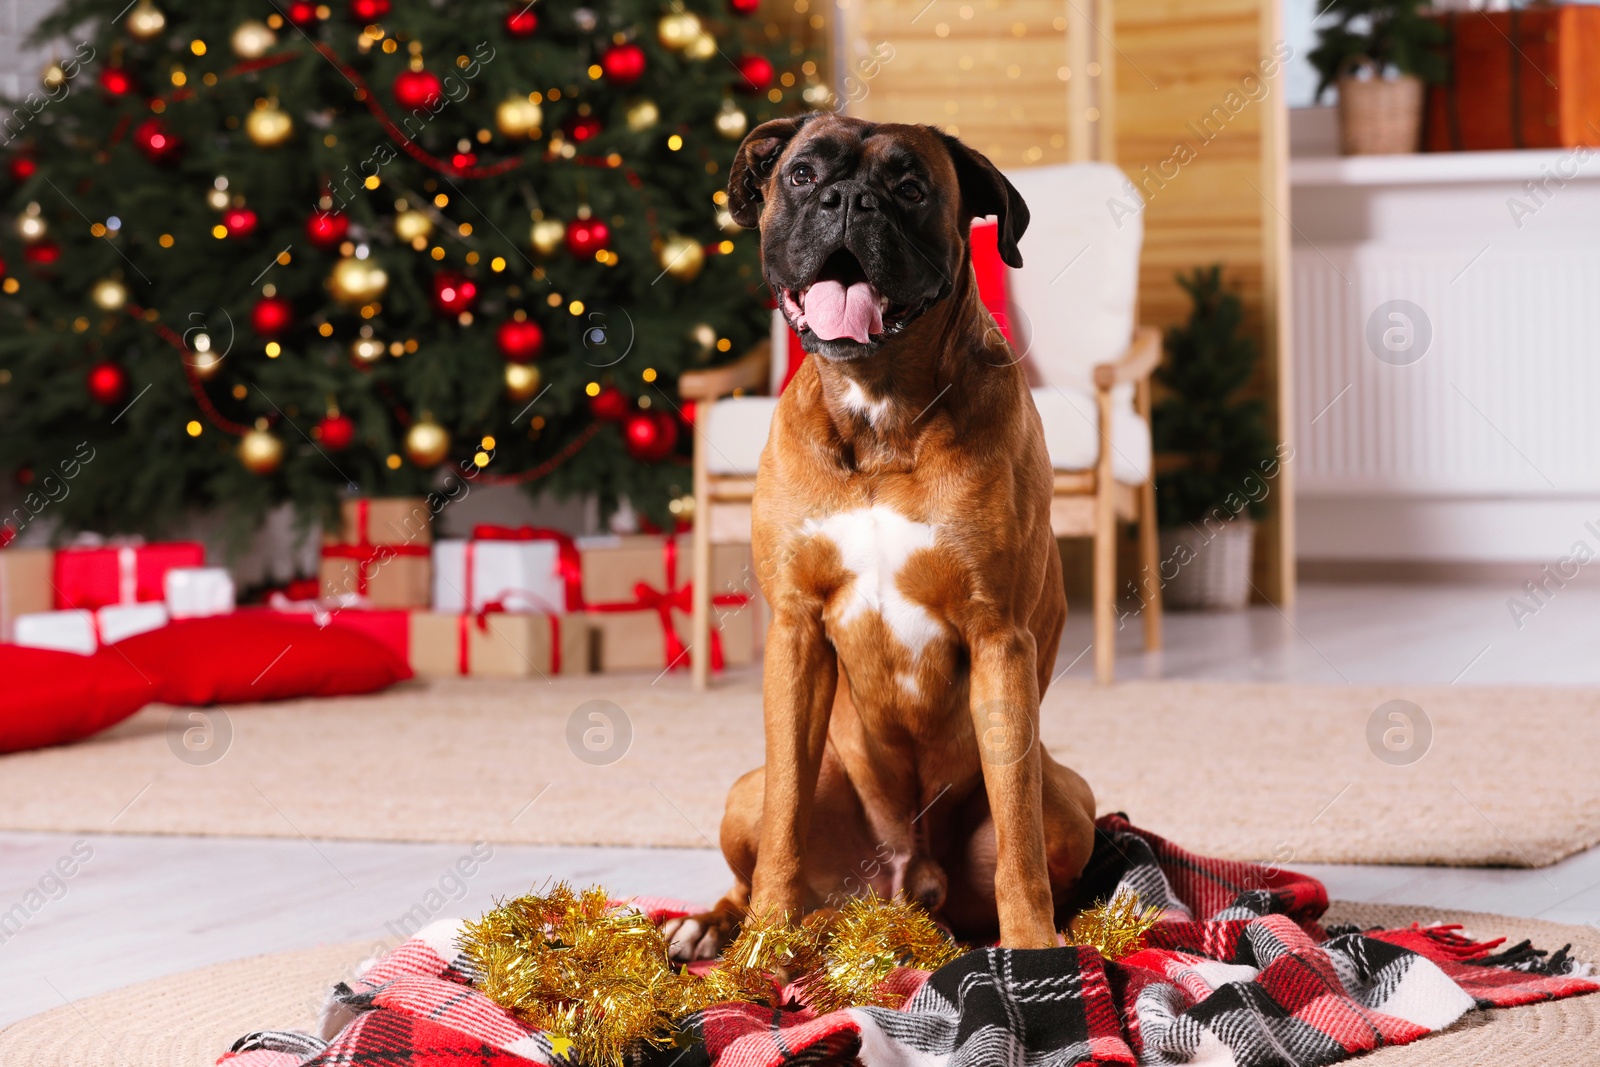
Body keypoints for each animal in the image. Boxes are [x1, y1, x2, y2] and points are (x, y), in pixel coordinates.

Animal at [662, 115, 1100, 959]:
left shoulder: (1000, 638)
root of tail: (903, 888)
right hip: (746, 793)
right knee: (759, 843)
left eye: (909, 185)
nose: (847, 200)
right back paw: (715, 925)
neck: (879, 412)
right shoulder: (797, 632)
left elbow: (1019, 833)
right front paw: (763, 942)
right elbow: (785, 819)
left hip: (1073, 804)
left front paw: (1034, 949)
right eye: (802, 175)